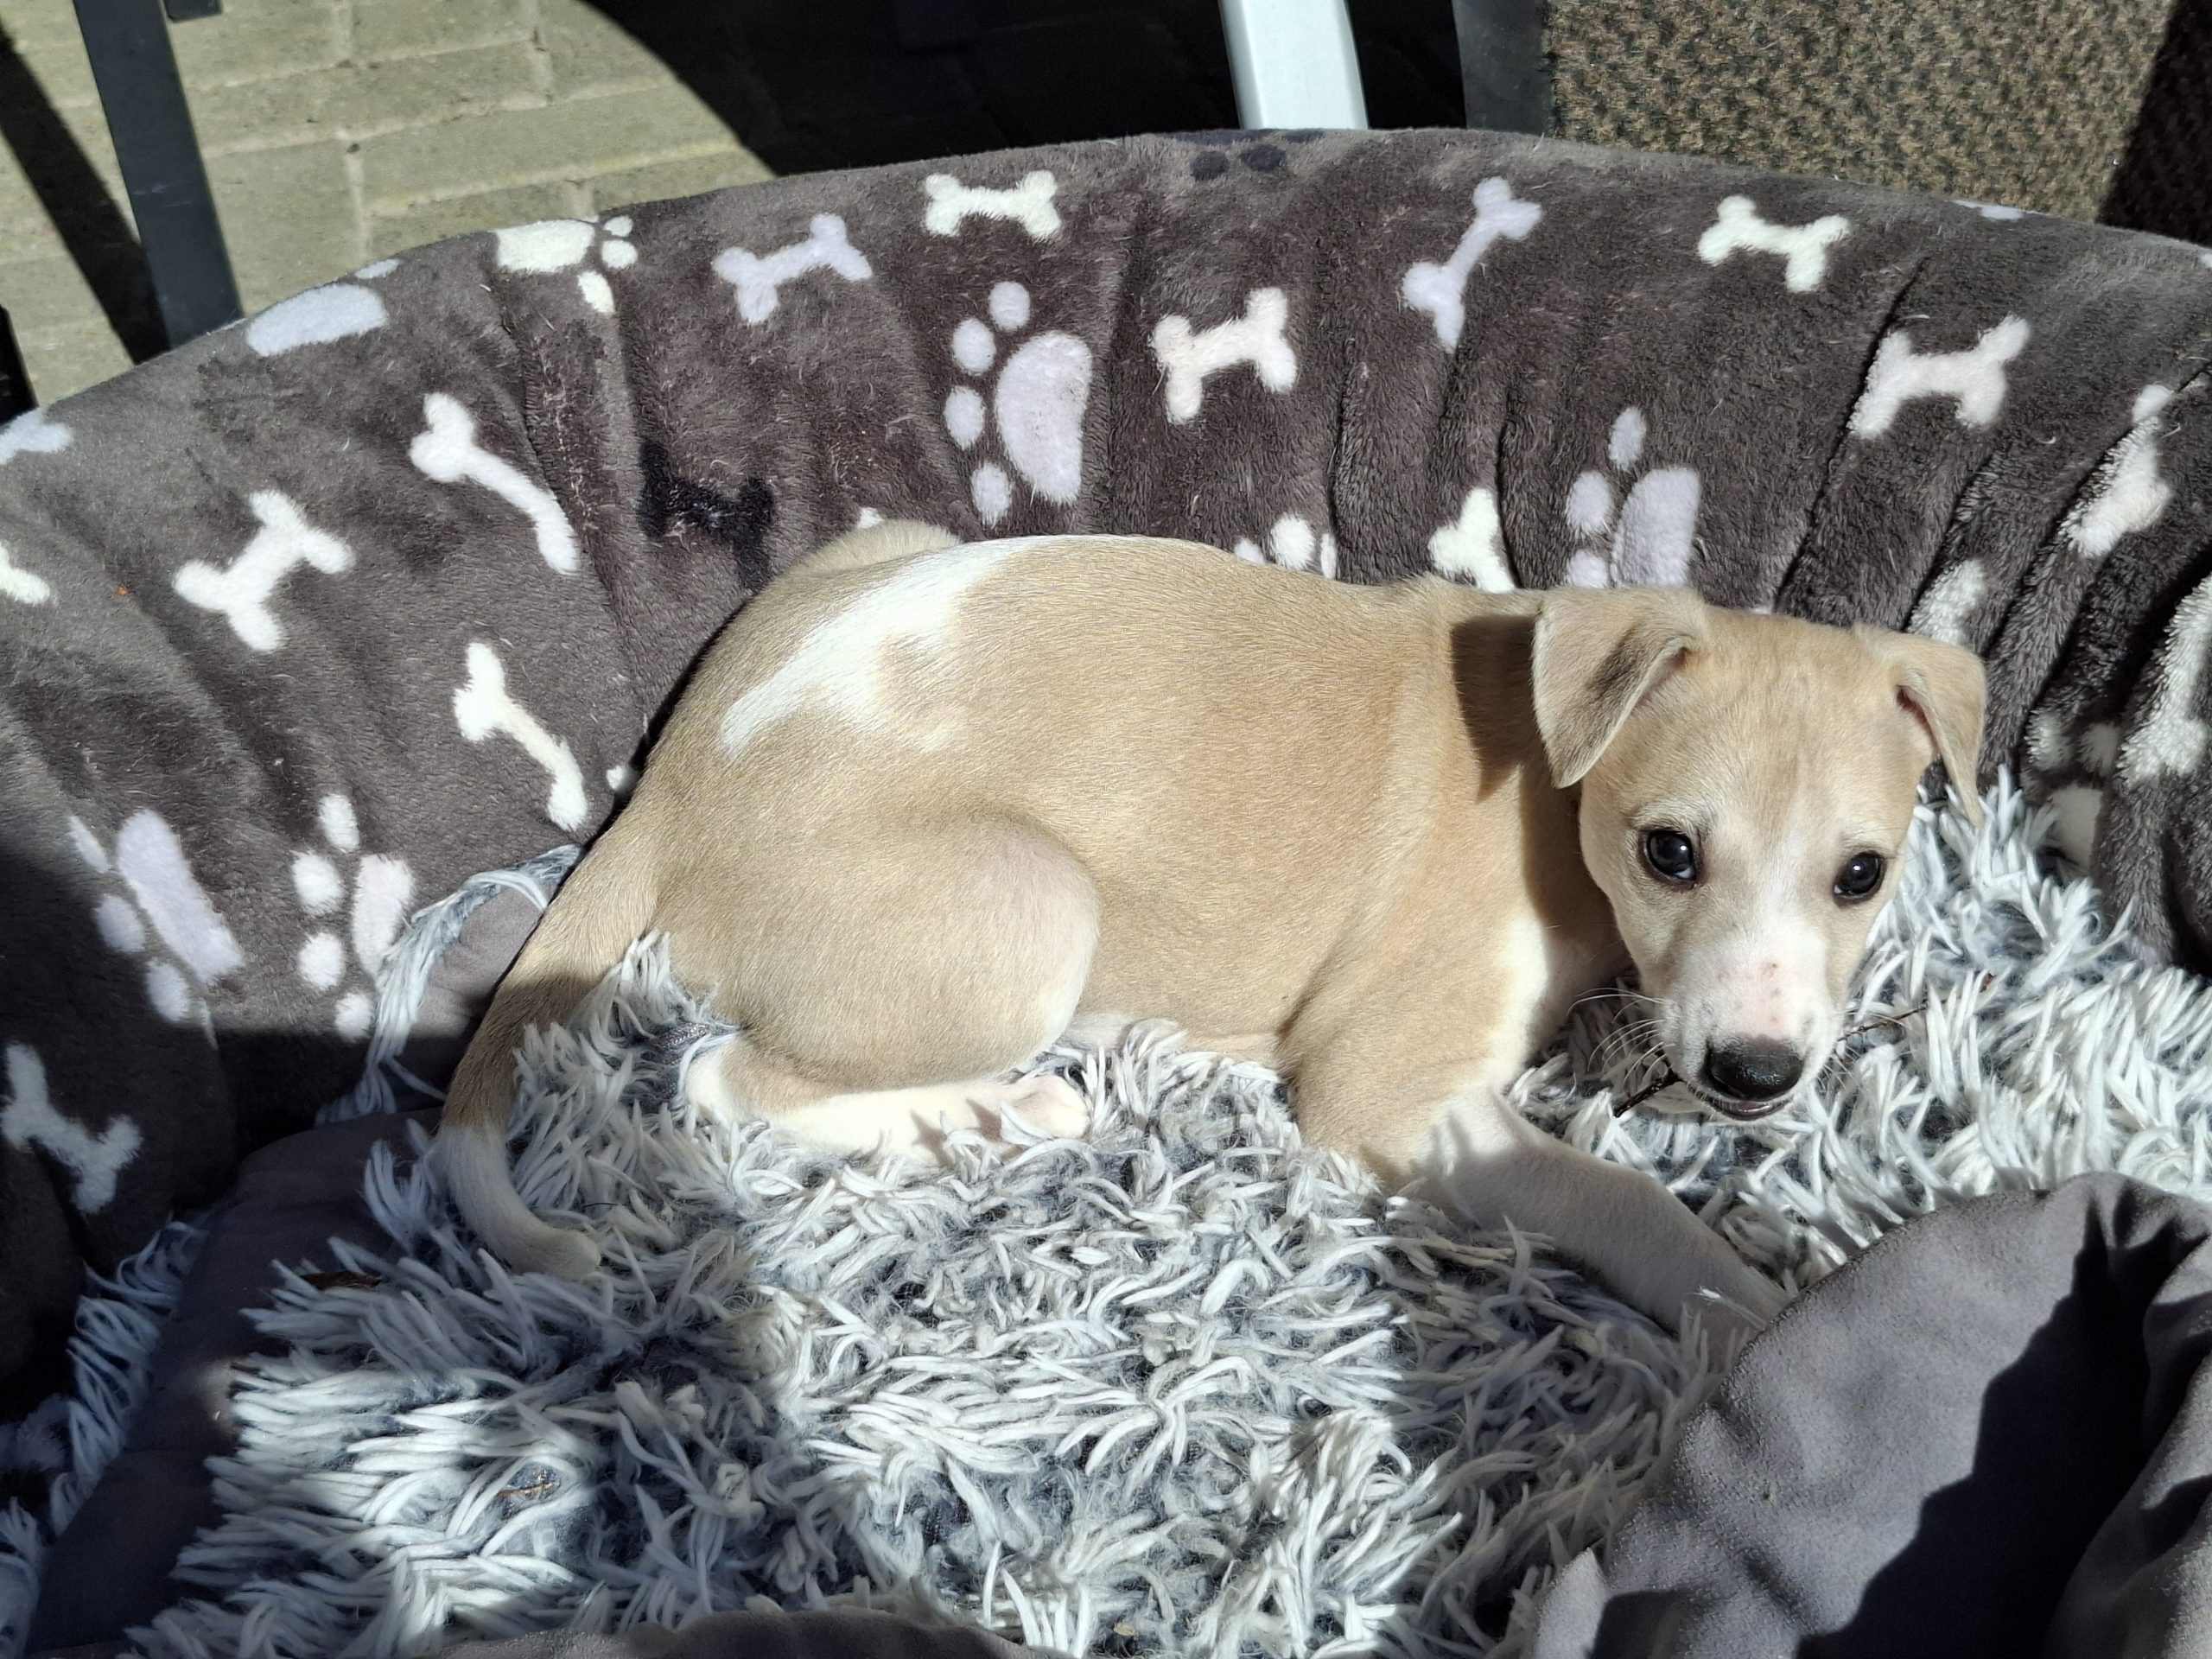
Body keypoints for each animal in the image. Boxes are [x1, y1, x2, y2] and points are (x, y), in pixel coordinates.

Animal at [435, 521, 1984, 1343]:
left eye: (1862, 875)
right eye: (1670, 851)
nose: (1756, 1077)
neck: (1557, 761)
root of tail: (682, 774)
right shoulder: (1384, 1089)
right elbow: (1615, 1194)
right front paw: (1764, 1312)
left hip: (888, 546)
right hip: (1033, 906)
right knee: (722, 1078)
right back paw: (1006, 1113)